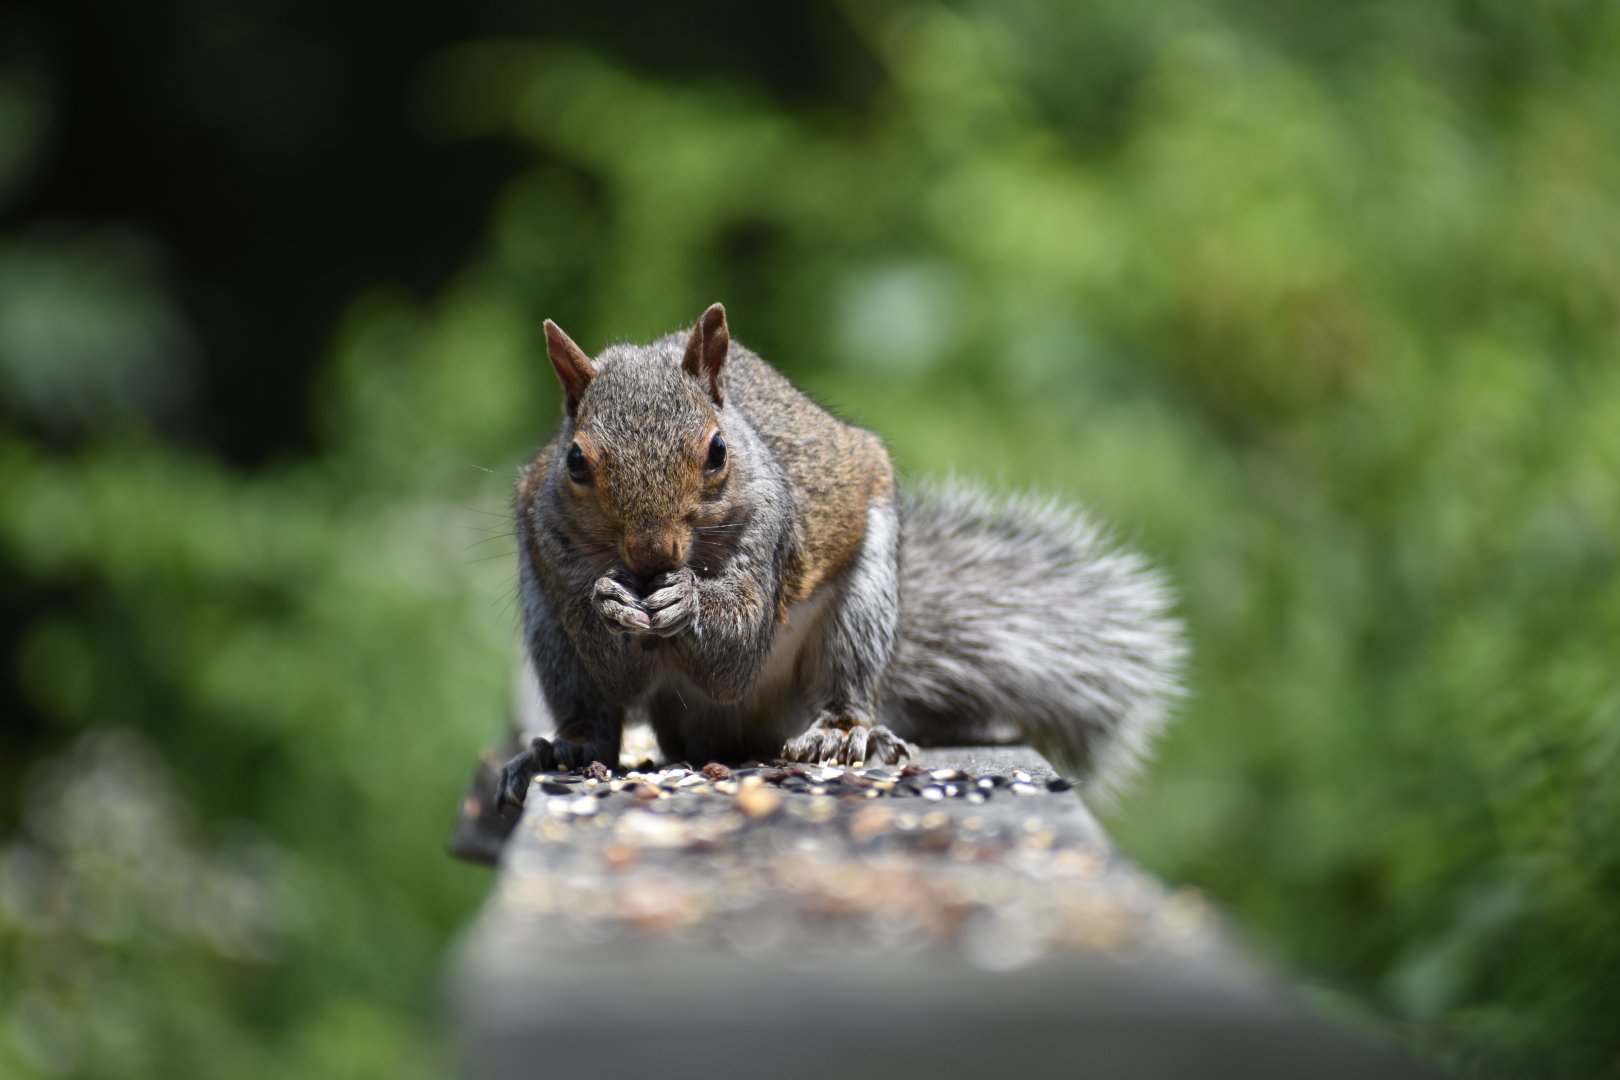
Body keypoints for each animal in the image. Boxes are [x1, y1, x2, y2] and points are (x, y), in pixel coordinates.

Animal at [494, 303, 1183, 812]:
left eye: (717, 451)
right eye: (575, 460)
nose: (650, 554)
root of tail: (736, 734)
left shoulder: (773, 534)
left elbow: (737, 646)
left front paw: (688, 600)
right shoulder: (549, 543)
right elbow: (615, 669)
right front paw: (607, 600)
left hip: (863, 606)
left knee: (844, 683)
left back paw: (843, 731)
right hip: (547, 630)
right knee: (593, 713)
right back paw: (563, 749)